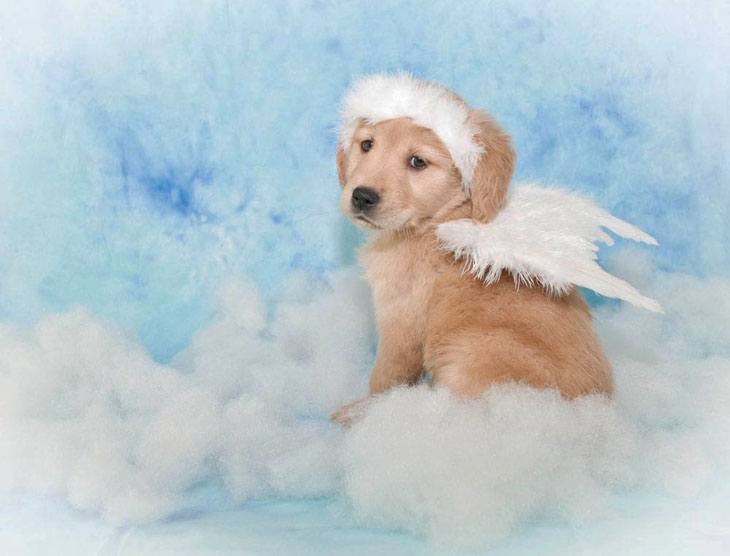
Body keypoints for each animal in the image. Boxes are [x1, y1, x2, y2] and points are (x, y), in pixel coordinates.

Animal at [332, 76, 612, 424]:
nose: (362, 196)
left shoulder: (401, 322)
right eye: (367, 145)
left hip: (475, 349)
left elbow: (385, 378)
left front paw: (367, 412)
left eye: (417, 162)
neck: (438, 222)